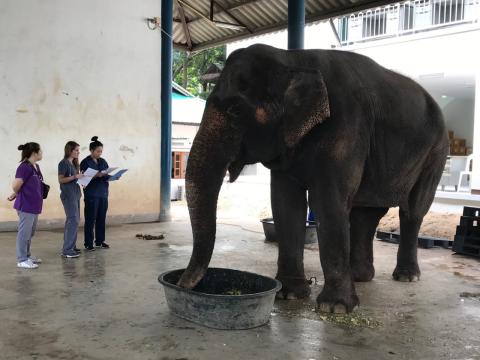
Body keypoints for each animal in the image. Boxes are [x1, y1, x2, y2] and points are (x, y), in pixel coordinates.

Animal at [177, 42, 450, 314]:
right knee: (366, 213)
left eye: (235, 111)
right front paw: (288, 295)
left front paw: (335, 308)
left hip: (435, 153)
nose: (180, 285)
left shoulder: (346, 127)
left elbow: (328, 202)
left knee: (412, 211)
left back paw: (406, 277)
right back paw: (360, 276)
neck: (293, 59)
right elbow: (285, 203)